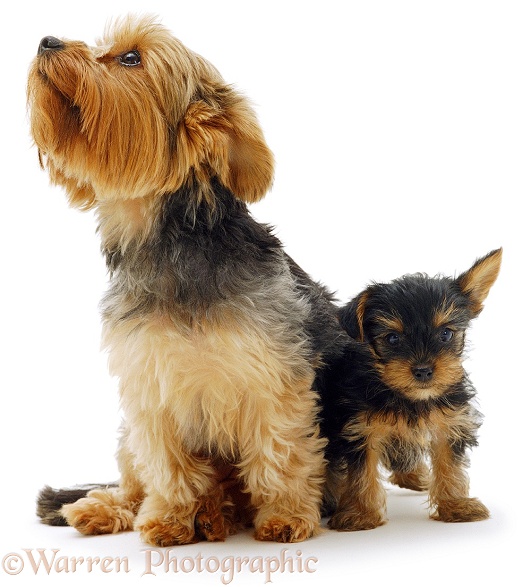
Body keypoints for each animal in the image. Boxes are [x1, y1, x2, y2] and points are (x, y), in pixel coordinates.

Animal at [28, 13, 348, 548]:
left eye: (130, 58)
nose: (46, 41)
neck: (169, 244)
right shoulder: (151, 386)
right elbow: (167, 464)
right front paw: (170, 517)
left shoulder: (272, 379)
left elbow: (279, 452)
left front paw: (285, 516)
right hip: (126, 437)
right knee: (133, 481)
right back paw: (108, 508)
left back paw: (220, 515)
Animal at [322, 250, 502, 532]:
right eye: (393, 338)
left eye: (446, 334)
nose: (423, 370)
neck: (410, 398)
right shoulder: (360, 429)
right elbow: (362, 472)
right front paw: (361, 514)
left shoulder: (450, 423)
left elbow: (450, 463)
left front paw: (456, 506)